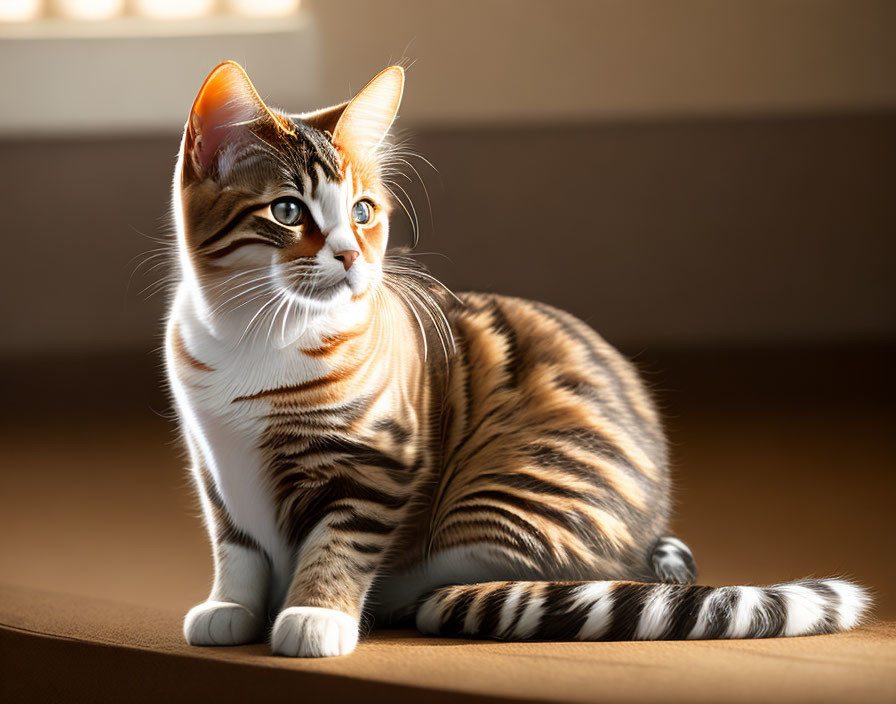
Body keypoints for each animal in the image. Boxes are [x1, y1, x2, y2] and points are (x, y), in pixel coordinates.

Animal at [163, 62, 868, 660]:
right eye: (288, 210)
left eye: (362, 212)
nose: (350, 255)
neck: (258, 335)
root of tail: (646, 543)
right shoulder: (213, 465)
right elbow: (237, 549)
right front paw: (233, 605)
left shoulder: (378, 461)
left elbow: (339, 543)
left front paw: (316, 612)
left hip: (509, 491)